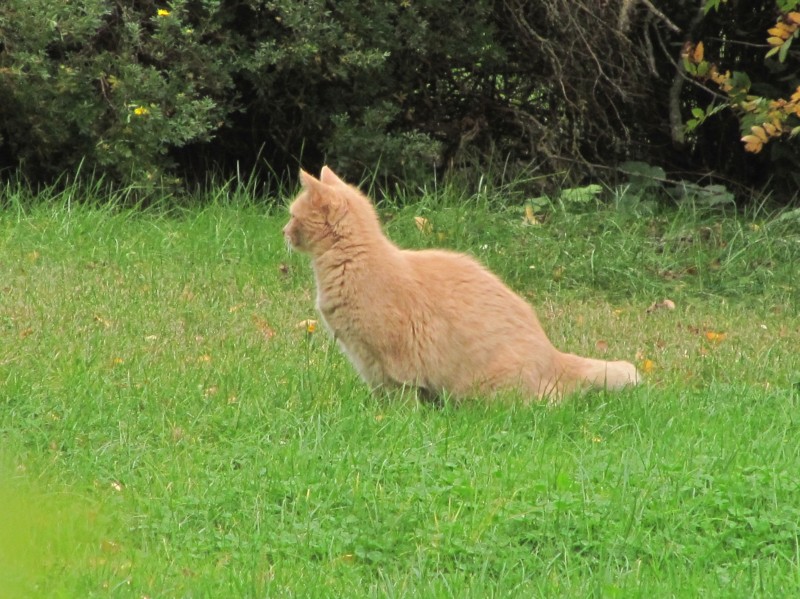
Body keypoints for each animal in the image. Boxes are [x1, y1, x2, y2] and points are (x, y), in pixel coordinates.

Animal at [284, 166, 640, 406]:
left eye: (292, 215)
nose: (283, 231)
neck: (353, 261)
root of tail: (553, 353)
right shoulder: (365, 360)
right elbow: (379, 393)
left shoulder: (390, 360)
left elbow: (401, 396)